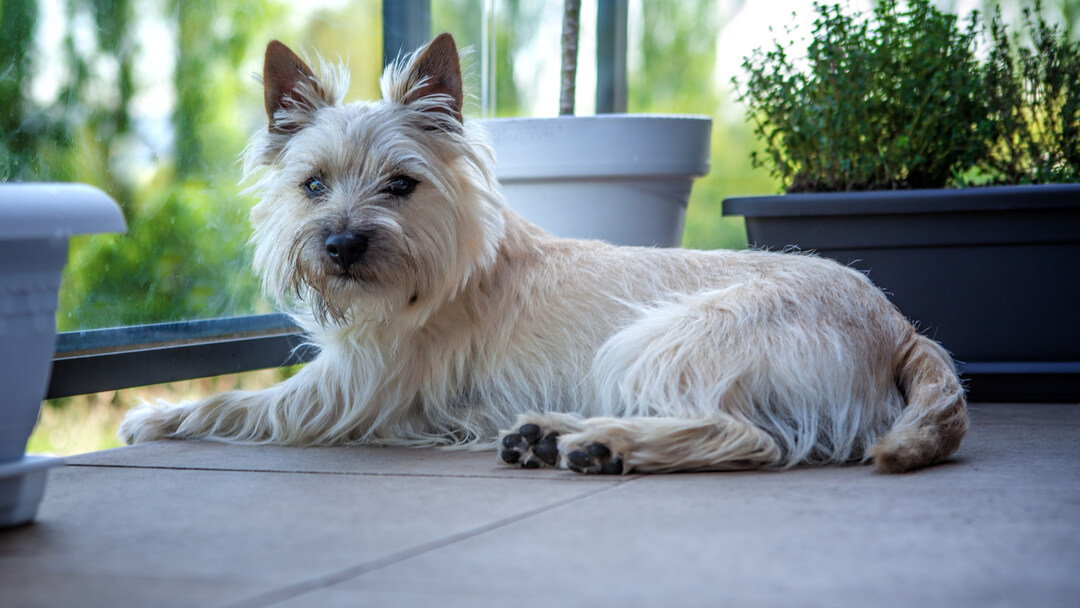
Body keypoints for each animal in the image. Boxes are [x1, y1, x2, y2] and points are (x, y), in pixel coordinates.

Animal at [113, 33, 967, 475]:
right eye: (313, 184)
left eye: (401, 184)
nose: (343, 245)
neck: (441, 271)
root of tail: (899, 325)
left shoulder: (345, 388)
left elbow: (236, 401)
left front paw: (155, 415)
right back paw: (548, 433)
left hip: (659, 340)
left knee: (742, 436)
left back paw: (603, 445)